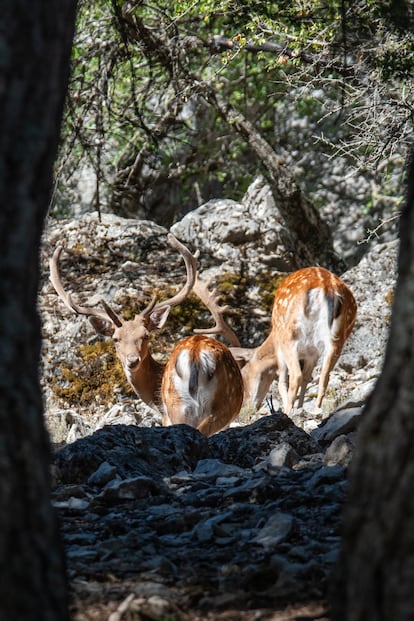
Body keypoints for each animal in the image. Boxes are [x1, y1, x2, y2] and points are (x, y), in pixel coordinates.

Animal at [49, 234, 244, 436]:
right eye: (115, 339)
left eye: (146, 336)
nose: (132, 360)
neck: (154, 399)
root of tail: (196, 354)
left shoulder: (166, 415)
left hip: (192, 407)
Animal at [191, 266, 356, 416]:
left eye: (243, 375)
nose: (243, 407)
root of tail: (327, 289)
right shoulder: (312, 354)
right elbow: (307, 378)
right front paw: (300, 407)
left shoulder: (280, 347)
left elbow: (282, 382)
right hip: (337, 340)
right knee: (323, 377)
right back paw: (317, 410)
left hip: (289, 336)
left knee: (296, 376)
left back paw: (288, 413)